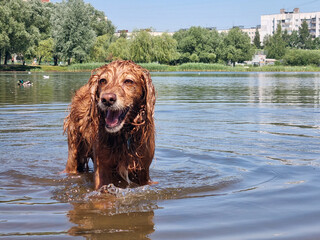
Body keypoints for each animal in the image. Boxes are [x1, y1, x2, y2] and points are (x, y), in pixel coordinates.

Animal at [63, 60, 156, 189]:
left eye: (128, 81)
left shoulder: (143, 170)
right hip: (73, 152)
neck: (123, 135)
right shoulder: (102, 167)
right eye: (103, 81)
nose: (107, 99)